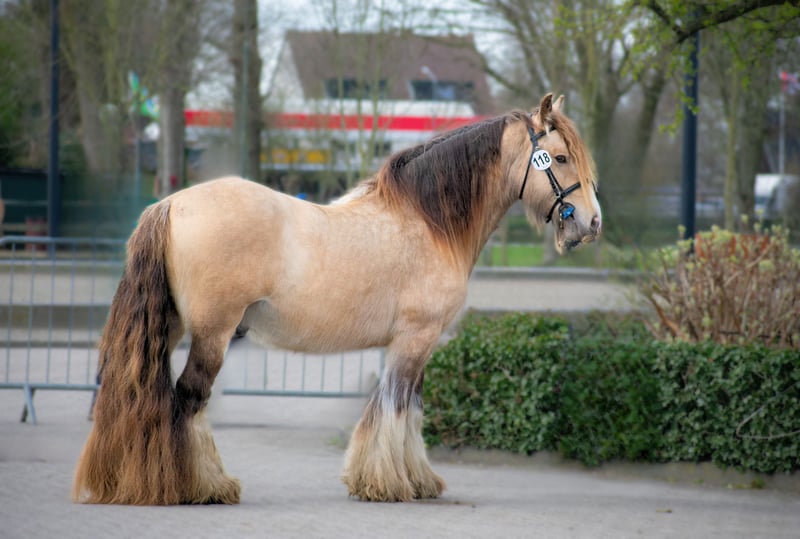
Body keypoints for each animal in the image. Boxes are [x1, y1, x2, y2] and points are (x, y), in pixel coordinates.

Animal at [72, 93, 601, 505]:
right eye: (561, 157)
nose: (591, 223)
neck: (427, 222)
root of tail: (170, 204)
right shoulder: (415, 339)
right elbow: (394, 406)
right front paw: (389, 483)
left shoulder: (417, 344)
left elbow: (408, 407)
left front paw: (414, 480)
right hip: (212, 336)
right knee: (188, 401)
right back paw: (203, 487)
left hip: (173, 328)